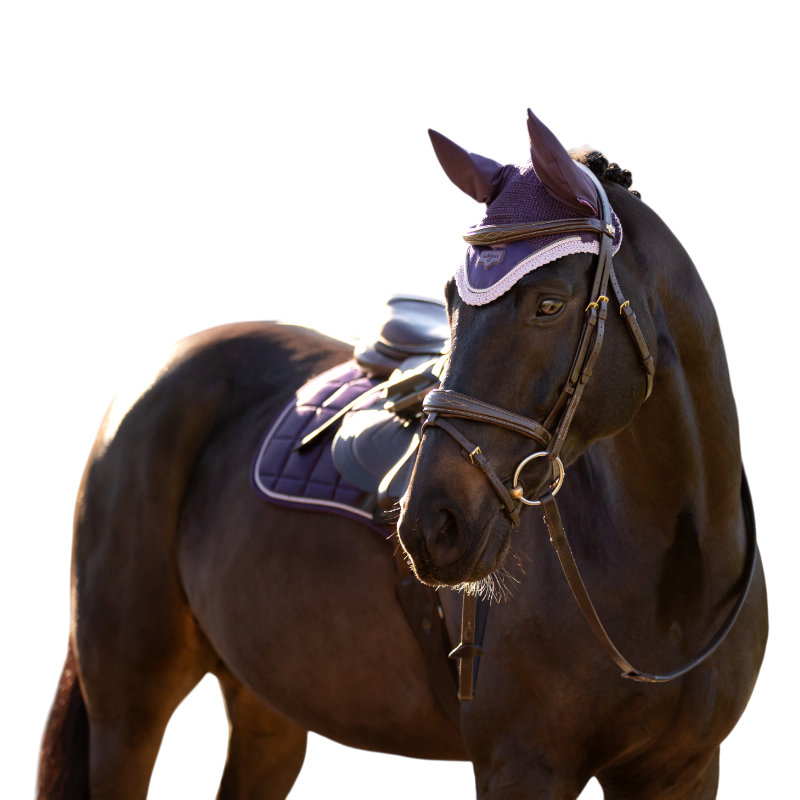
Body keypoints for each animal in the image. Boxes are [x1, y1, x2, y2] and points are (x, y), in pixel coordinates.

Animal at [36, 110, 768, 800]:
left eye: (549, 304)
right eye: (449, 299)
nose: (432, 526)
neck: (668, 575)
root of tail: (160, 367)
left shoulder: (682, 773)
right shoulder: (524, 767)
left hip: (267, 701)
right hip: (127, 706)